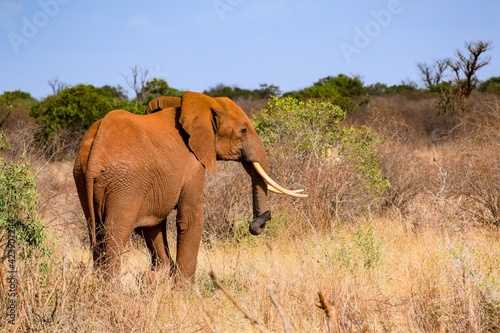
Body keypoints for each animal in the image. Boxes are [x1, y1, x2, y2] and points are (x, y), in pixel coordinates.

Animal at [72, 91, 306, 280]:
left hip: (84, 179)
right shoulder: (193, 164)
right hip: (124, 183)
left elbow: (154, 226)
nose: (263, 219)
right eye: (243, 131)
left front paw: (157, 279)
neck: (201, 103)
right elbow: (191, 218)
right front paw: (182, 290)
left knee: (96, 234)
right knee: (114, 234)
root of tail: (95, 151)